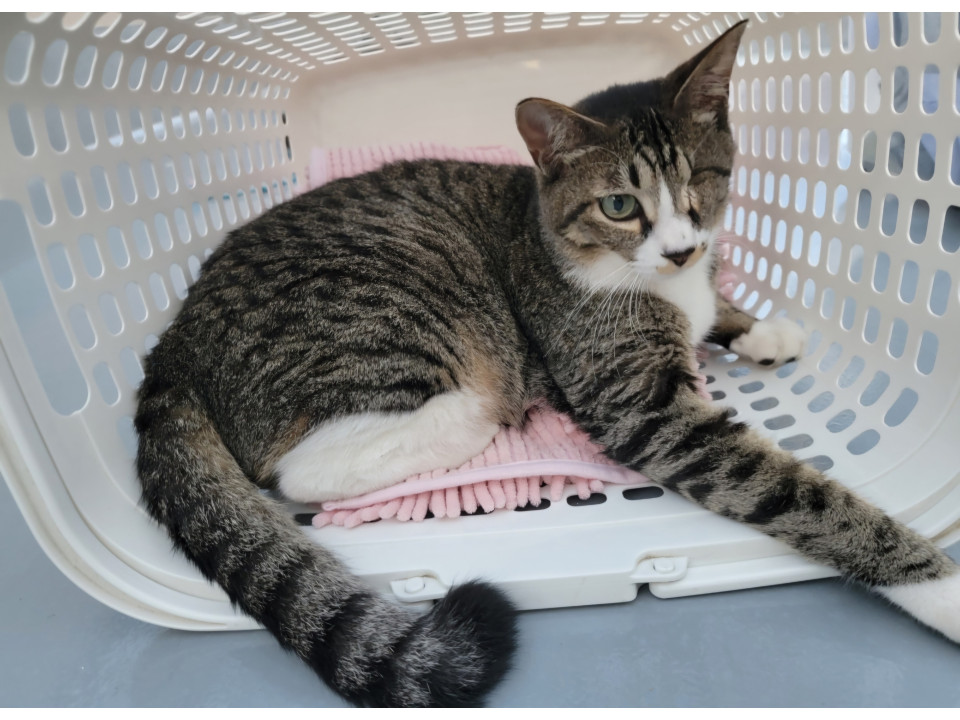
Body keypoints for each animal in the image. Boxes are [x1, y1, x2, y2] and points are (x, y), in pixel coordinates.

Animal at [135, 20, 960, 707]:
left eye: (701, 178)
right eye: (620, 205)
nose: (680, 249)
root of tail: (175, 338)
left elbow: (715, 305)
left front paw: (755, 327)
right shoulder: (642, 404)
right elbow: (801, 496)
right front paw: (939, 587)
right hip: (382, 322)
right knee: (302, 466)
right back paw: (485, 410)